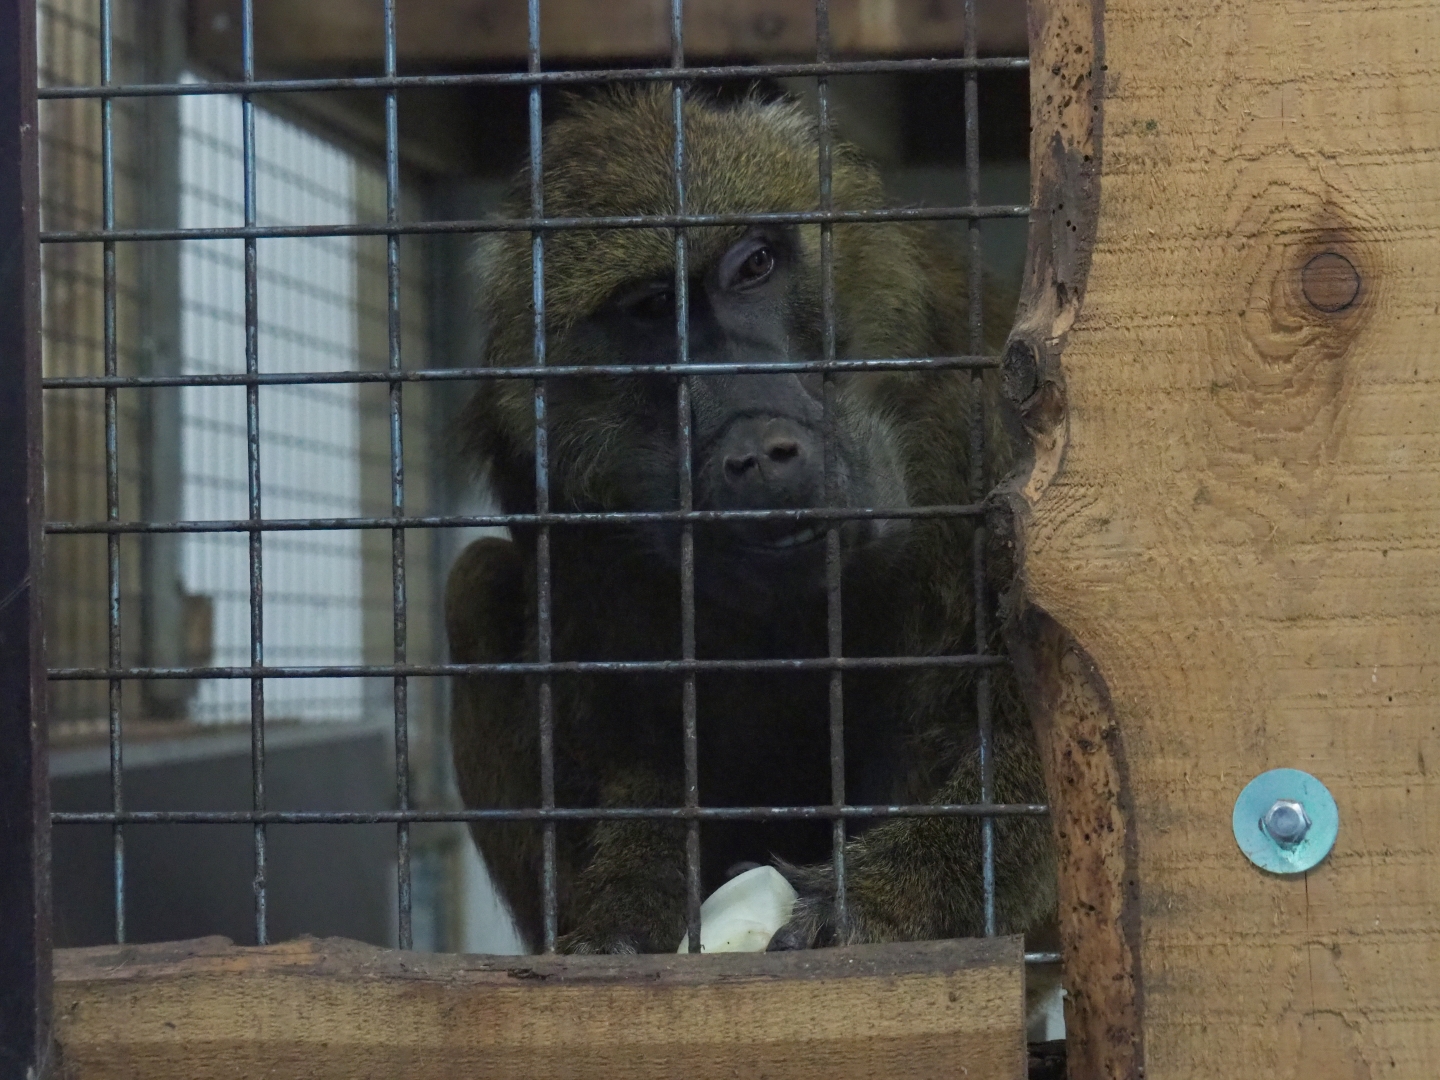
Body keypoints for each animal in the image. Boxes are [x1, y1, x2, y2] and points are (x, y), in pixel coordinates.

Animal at [446, 85, 1056, 958]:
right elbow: (645, 754)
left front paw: (877, 896)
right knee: (476, 581)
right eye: (654, 310)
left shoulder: (979, 433)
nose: (762, 451)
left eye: (753, 268)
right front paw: (624, 910)